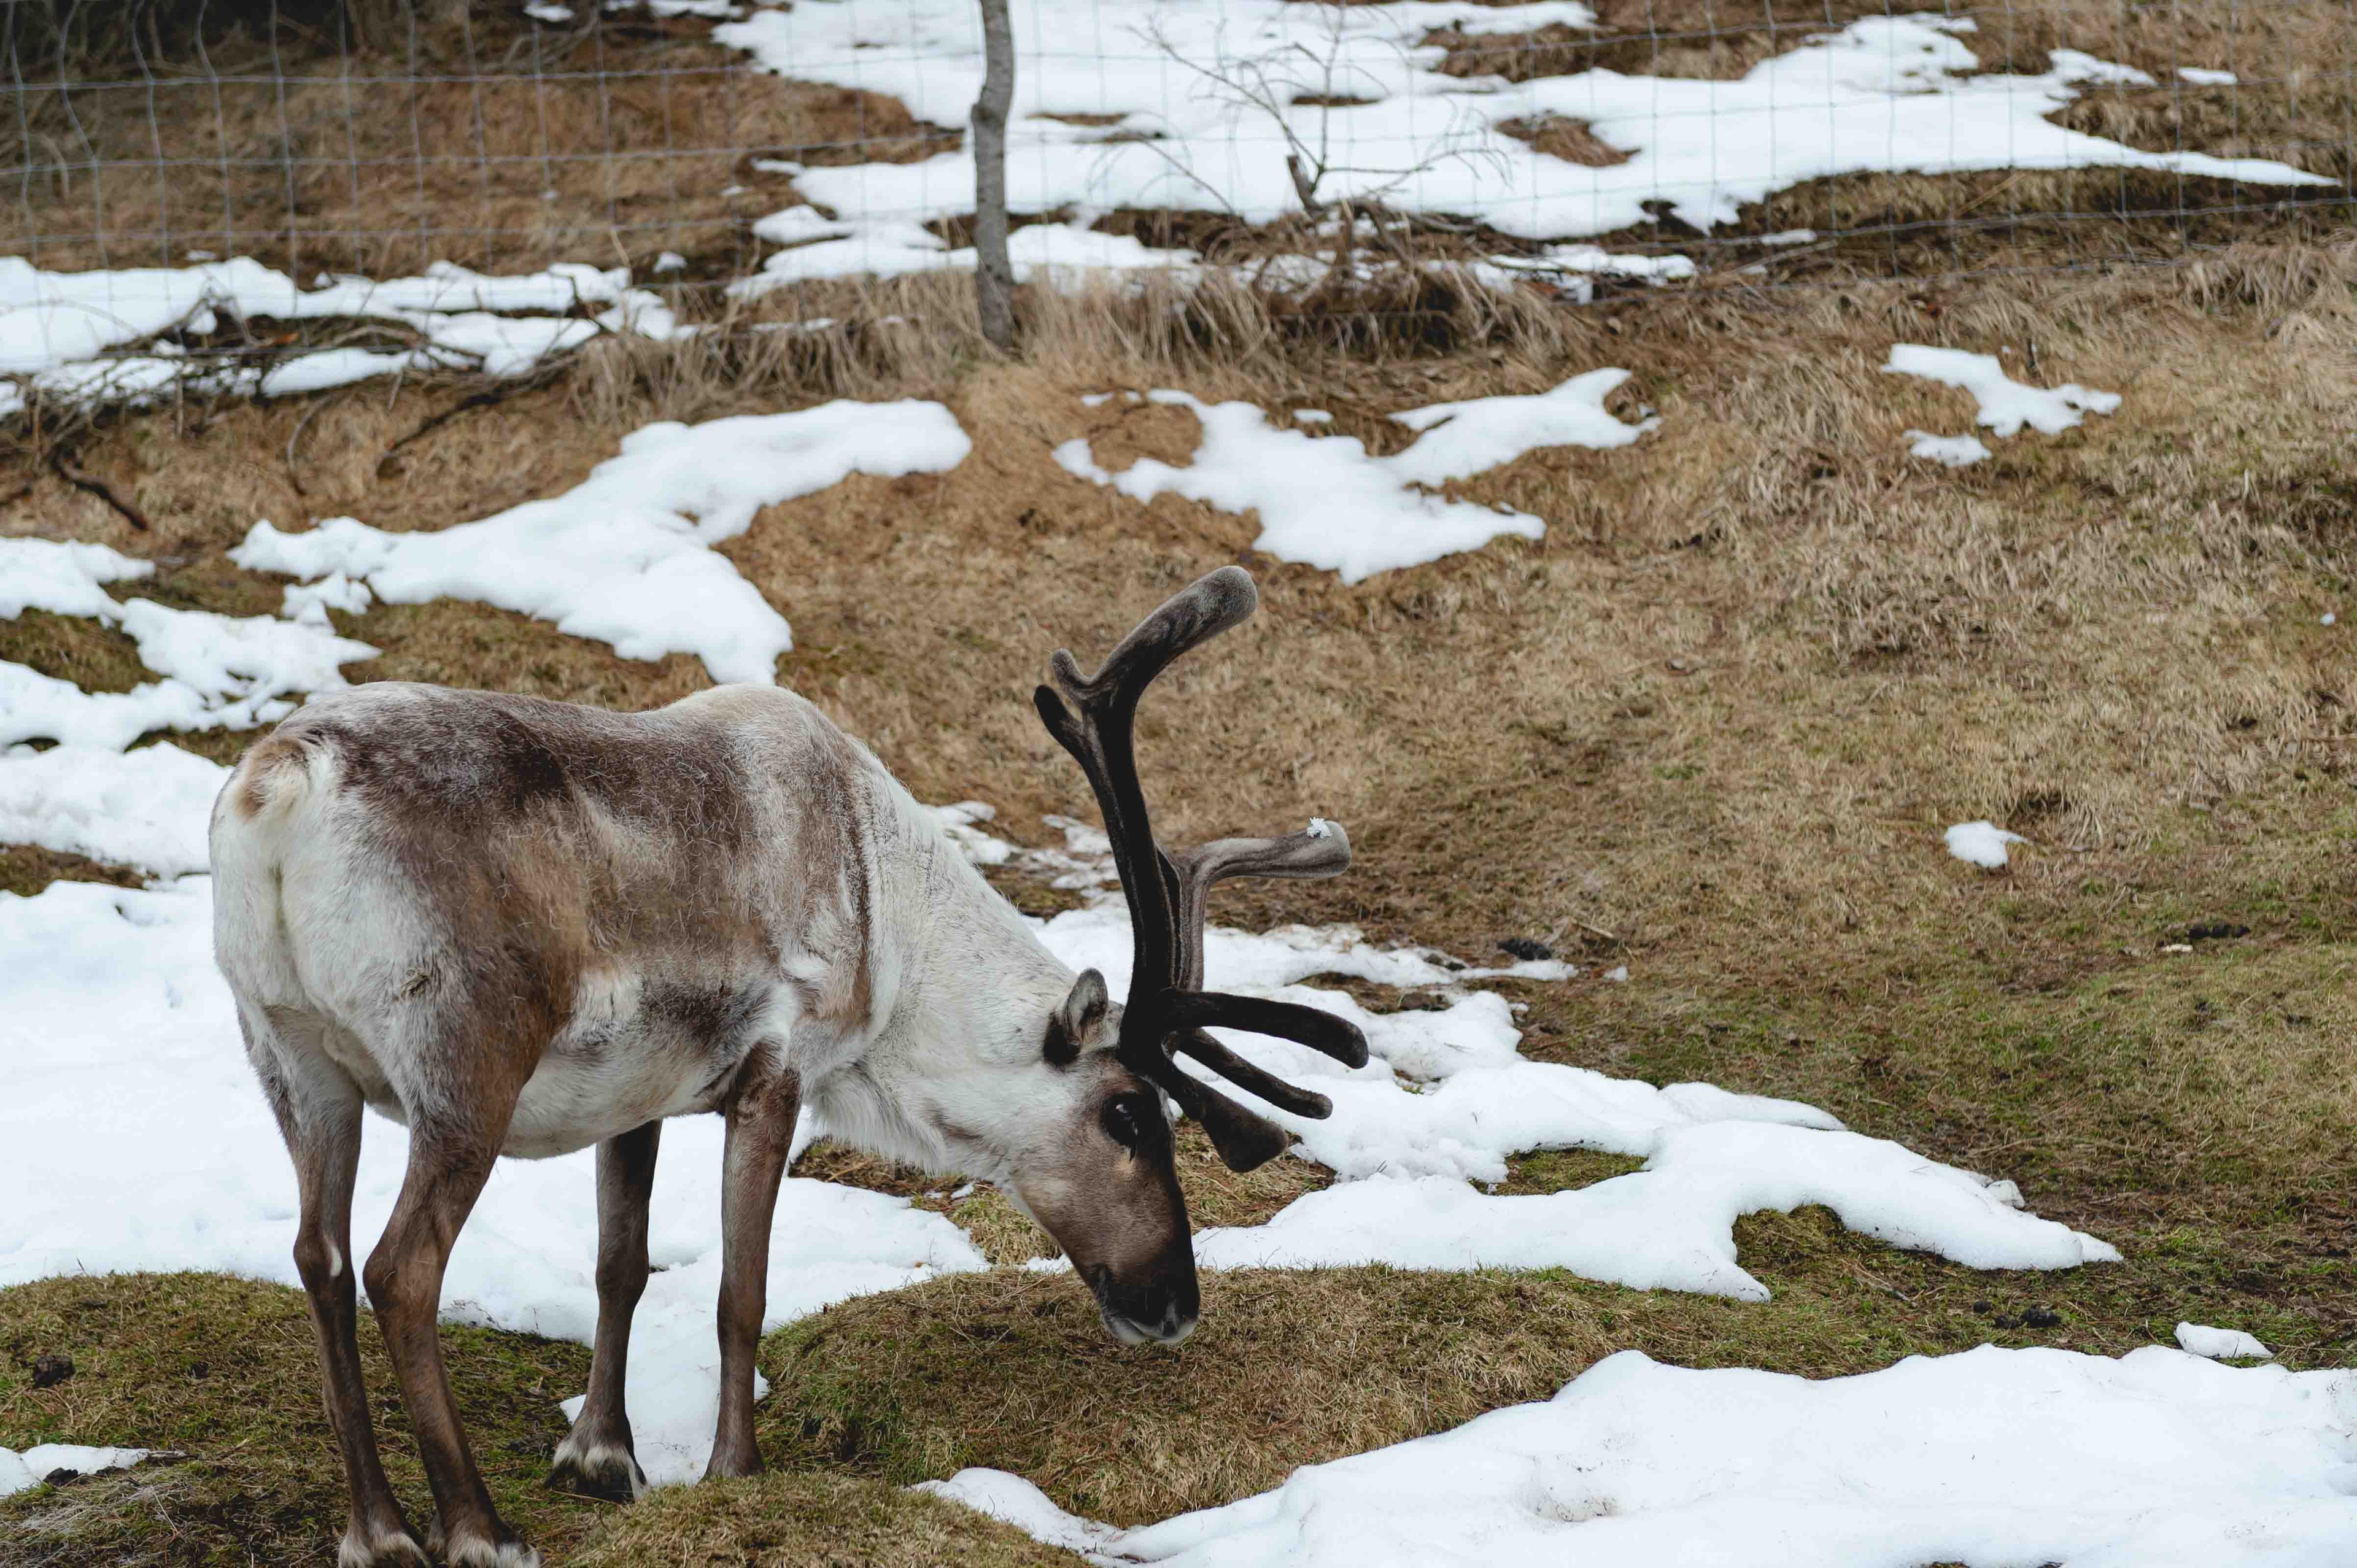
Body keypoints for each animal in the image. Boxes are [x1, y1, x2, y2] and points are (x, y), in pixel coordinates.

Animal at [208, 566, 1365, 1568]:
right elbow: (741, 1292)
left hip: (289, 1053)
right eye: (1128, 1114)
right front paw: (736, 1471)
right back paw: (478, 1529)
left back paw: (377, 1529)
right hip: (464, 1066)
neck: (891, 927)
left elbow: (620, 1264)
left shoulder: (637, 1094)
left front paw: (603, 1455)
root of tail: (281, 789)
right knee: (401, 1268)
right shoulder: (776, 1070)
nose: (1175, 1305)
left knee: (318, 1257)